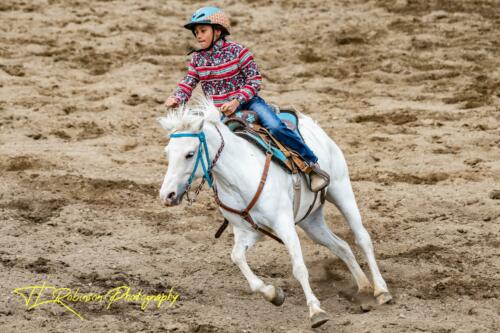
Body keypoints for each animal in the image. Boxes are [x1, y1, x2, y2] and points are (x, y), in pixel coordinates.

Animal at [158, 99, 392, 326]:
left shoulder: (283, 223)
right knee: (341, 246)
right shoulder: (249, 230)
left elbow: (299, 267)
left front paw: (316, 312)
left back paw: (381, 291)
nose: (167, 195)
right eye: (167, 153)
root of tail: (311, 123)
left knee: (362, 239)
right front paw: (274, 294)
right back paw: (363, 287)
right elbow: (237, 257)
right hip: (311, 221)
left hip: (341, 190)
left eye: (189, 154)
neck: (238, 175)